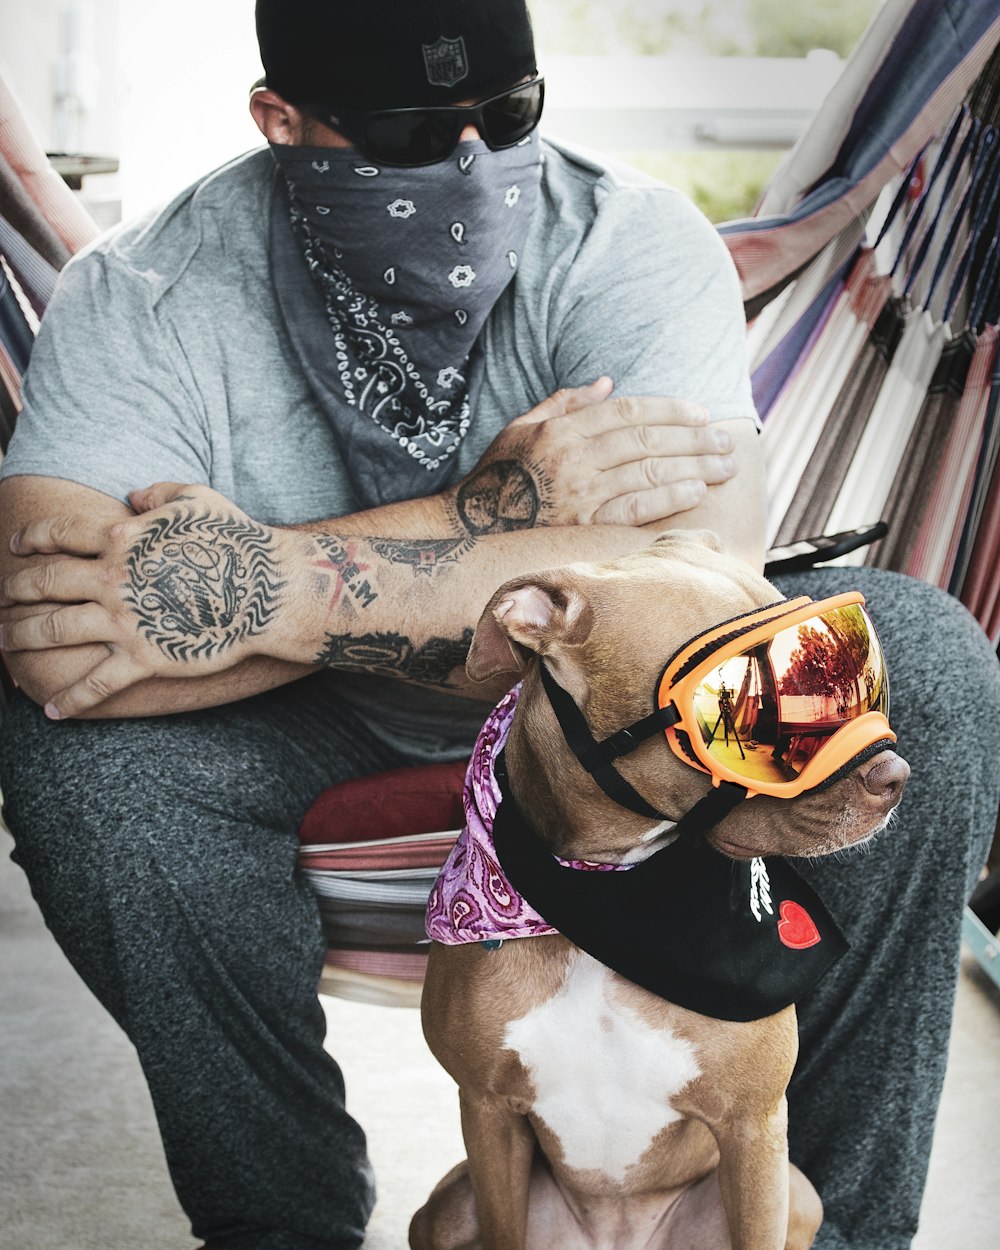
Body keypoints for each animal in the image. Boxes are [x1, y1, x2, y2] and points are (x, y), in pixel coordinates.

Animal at [410, 532, 910, 1250]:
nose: (894, 774)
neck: (606, 892)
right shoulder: (486, 1112)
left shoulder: (754, 1128)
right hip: (446, 1209)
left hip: (800, 1196)